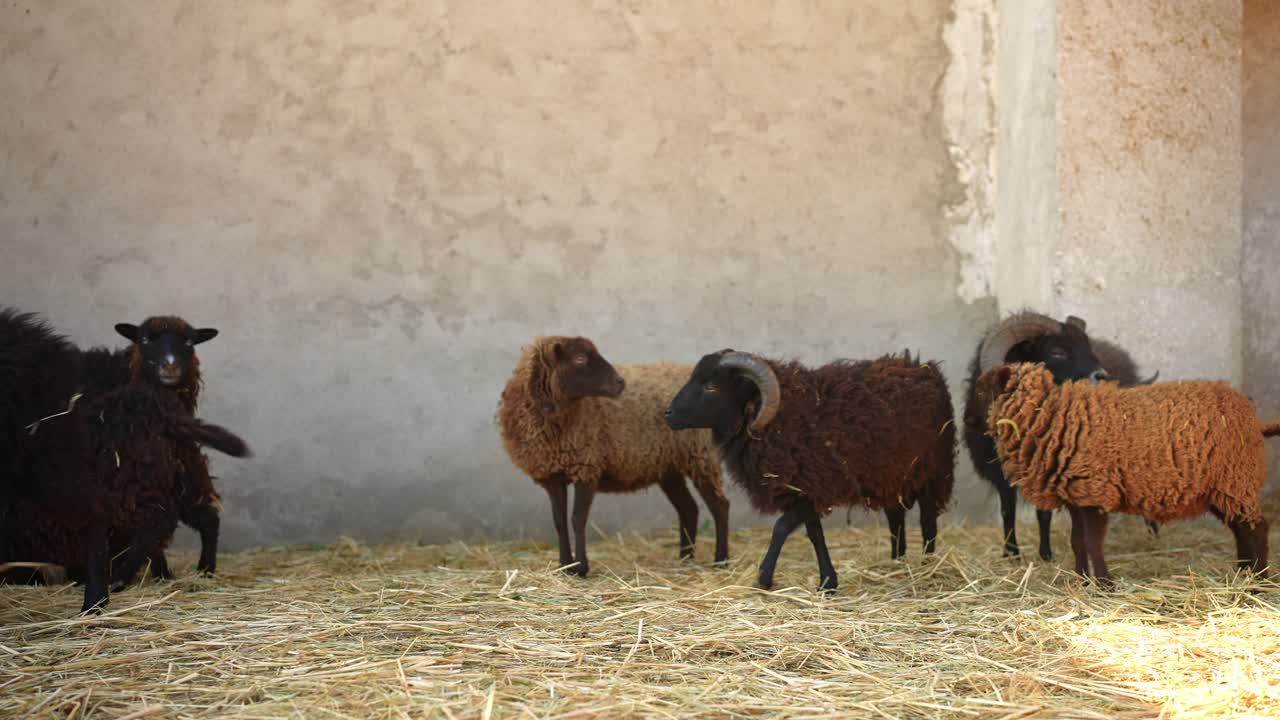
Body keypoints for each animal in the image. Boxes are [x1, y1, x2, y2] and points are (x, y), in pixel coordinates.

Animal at [496, 336, 730, 577]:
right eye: (579, 358)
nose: (620, 382)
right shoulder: (552, 476)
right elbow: (559, 522)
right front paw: (565, 567)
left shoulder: (587, 467)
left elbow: (577, 519)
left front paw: (581, 567)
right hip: (669, 467)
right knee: (689, 508)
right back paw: (685, 560)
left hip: (701, 457)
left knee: (720, 506)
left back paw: (720, 560)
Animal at [665, 349, 955, 593]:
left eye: (711, 387)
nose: (667, 415)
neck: (779, 418)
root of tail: (924, 367)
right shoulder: (805, 490)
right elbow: (815, 534)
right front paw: (828, 583)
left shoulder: (813, 487)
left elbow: (781, 528)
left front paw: (764, 578)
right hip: (891, 476)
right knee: (895, 517)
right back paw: (897, 561)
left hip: (931, 471)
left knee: (927, 519)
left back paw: (928, 566)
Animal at [962, 311, 1157, 560]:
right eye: (1057, 351)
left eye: (1088, 346)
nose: (1102, 376)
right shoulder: (999, 472)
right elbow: (1007, 512)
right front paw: (1011, 554)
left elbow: (1043, 514)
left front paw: (1045, 555)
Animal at [975, 362, 1278, 587]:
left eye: (981, 390)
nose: (969, 424)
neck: (1049, 416)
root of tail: (1254, 420)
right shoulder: (1077, 497)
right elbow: (1077, 542)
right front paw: (1082, 580)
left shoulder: (1095, 493)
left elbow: (1092, 542)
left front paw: (1104, 584)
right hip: (1223, 488)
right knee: (1241, 529)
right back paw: (1243, 573)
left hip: (1236, 479)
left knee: (1257, 528)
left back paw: (1259, 579)